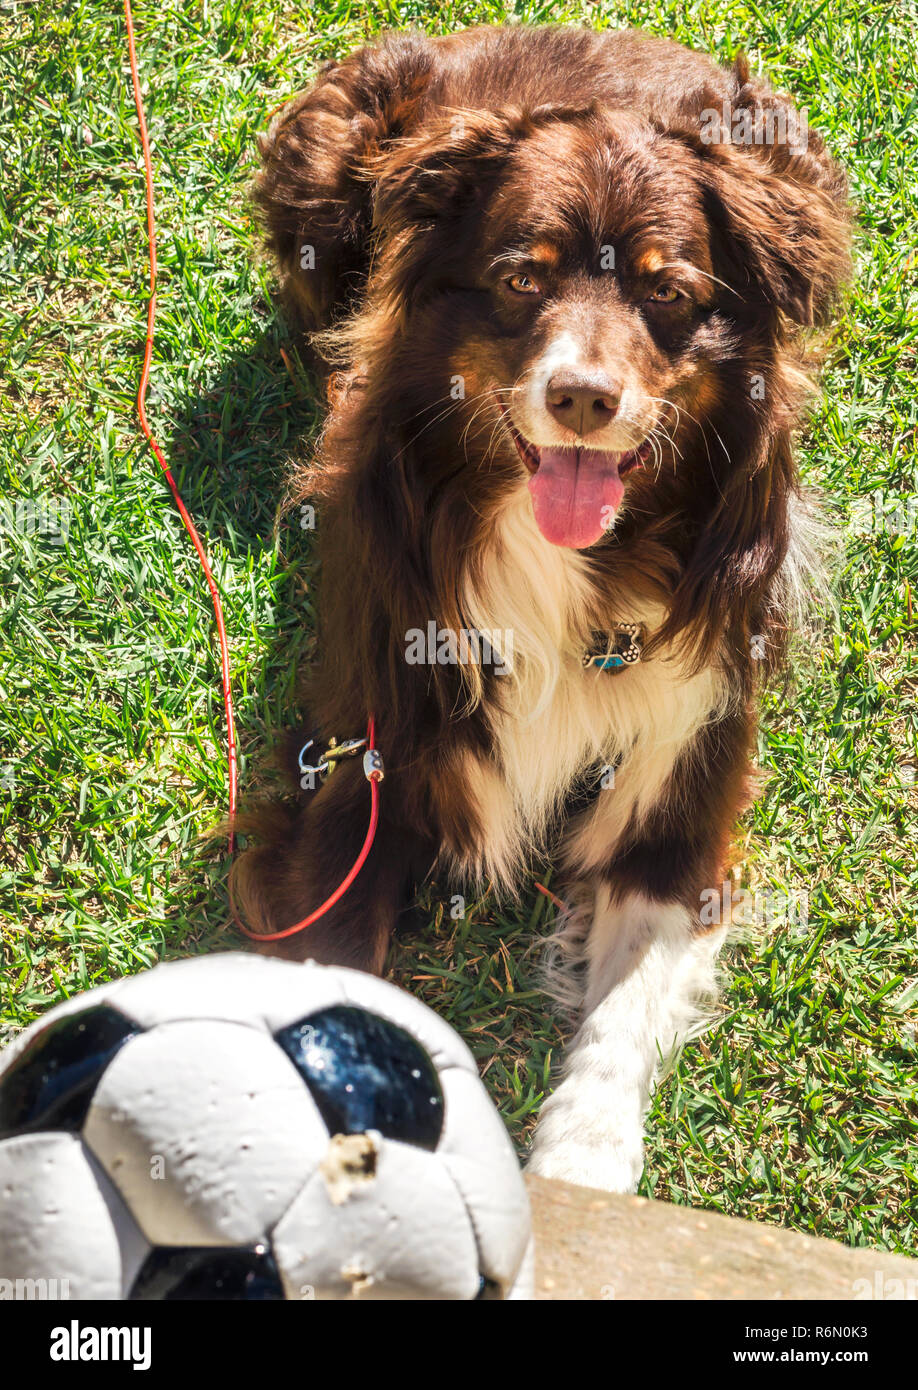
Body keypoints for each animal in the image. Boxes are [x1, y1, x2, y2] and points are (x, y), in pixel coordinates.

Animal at [233, 21, 851, 1189]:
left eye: (669, 294)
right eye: (521, 278)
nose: (582, 399)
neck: (569, 562)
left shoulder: (689, 752)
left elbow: (622, 1014)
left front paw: (581, 1168)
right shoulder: (365, 762)